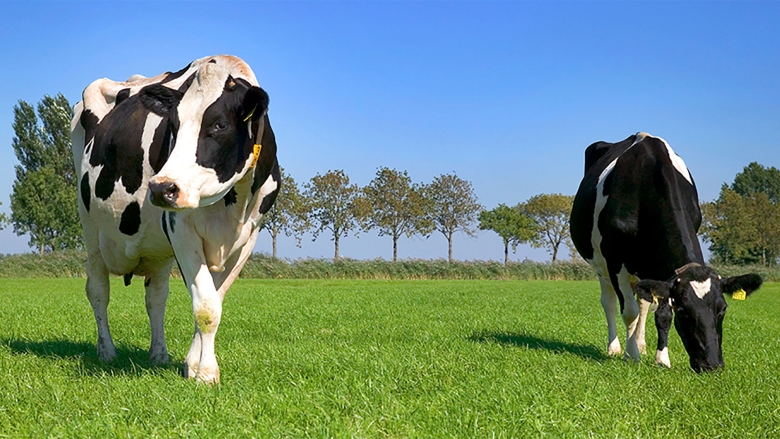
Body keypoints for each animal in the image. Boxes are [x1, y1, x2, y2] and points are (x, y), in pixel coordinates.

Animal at [71, 55, 281, 383]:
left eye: (219, 124)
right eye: (173, 126)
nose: (161, 188)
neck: (232, 205)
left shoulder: (249, 235)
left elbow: (213, 299)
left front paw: (192, 365)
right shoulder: (180, 229)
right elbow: (205, 305)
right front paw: (206, 373)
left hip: (156, 250)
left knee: (156, 297)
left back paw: (158, 354)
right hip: (90, 228)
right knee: (98, 290)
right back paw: (106, 351)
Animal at [570, 132, 762, 372]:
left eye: (723, 308)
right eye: (684, 311)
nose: (712, 365)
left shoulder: (664, 267)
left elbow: (661, 314)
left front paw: (661, 358)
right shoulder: (615, 262)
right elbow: (629, 312)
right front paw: (630, 355)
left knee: (643, 302)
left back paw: (640, 344)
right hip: (601, 266)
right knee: (610, 303)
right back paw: (615, 347)